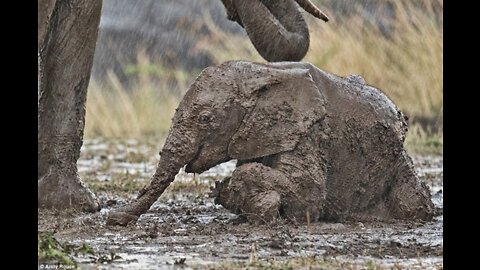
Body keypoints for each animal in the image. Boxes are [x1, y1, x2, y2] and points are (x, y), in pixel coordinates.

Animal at [106, 60, 436, 226]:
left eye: (205, 119)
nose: (114, 219)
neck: (263, 71)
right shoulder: (259, 133)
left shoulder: (309, 130)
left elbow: (308, 194)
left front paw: (239, 196)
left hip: (397, 165)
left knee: (412, 203)